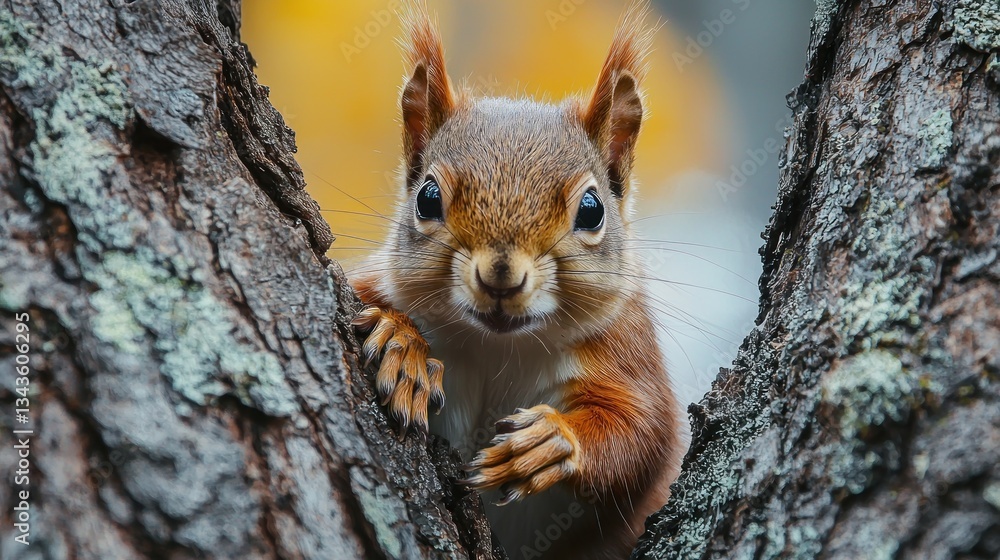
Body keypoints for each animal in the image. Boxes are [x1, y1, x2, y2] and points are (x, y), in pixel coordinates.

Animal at [349, 2, 685, 558]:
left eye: (592, 210)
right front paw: (401, 342)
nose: (501, 276)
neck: (498, 347)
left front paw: (553, 442)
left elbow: (641, 437)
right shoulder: (370, 281)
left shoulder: (624, 353)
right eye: (427, 198)